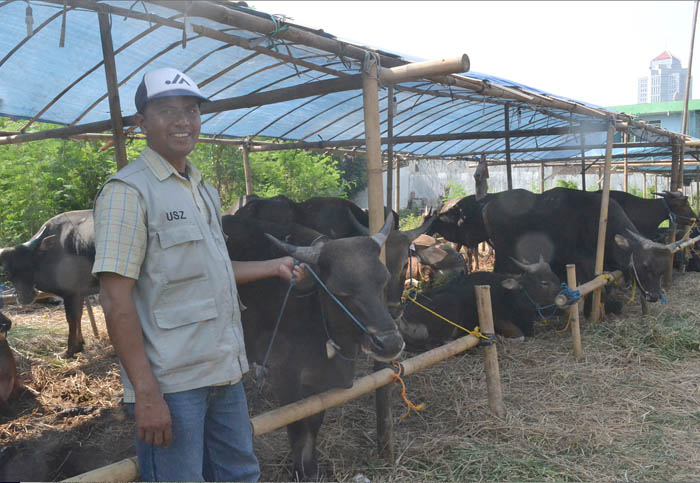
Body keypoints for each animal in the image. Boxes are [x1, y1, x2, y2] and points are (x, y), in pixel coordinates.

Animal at [0, 211, 96, 356]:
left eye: (30, 266)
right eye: (6, 272)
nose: (25, 297)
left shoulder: (71, 293)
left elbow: (72, 319)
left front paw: (70, 350)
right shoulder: (79, 293)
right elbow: (78, 317)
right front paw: (80, 344)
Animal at [221, 215, 408, 480]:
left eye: (383, 280)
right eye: (340, 291)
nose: (390, 343)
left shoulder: (317, 384)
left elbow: (314, 422)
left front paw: (312, 468)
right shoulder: (285, 378)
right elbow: (297, 427)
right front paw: (300, 472)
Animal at [396, 258, 560, 348]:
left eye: (554, 275)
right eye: (544, 283)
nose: (562, 292)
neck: (511, 298)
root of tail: (403, 320)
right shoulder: (497, 319)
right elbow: (520, 336)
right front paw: (499, 337)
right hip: (451, 305)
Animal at [482, 187, 680, 304]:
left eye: (662, 270)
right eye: (644, 266)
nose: (653, 296)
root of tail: (488, 205)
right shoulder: (585, 263)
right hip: (503, 252)